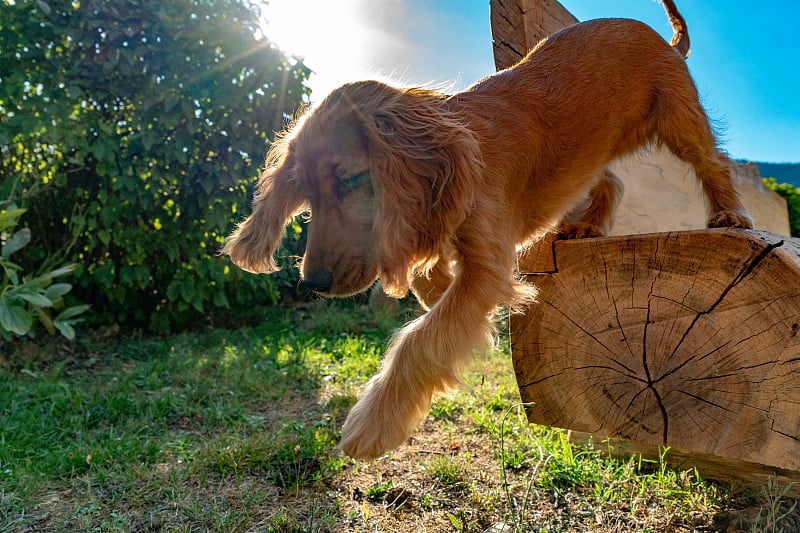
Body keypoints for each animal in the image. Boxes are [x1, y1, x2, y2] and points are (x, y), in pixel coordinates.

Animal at [222, 0, 752, 458]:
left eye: (351, 179)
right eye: (306, 195)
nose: (312, 283)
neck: (456, 154)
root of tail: (664, 40)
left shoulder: (486, 266)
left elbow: (420, 340)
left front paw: (372, 423)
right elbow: (429, 286)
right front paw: (442, 295)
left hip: (678, 115)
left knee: (713, 163)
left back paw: (728, 215)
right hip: (590, 153)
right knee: (610, 180)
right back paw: (585, 224)